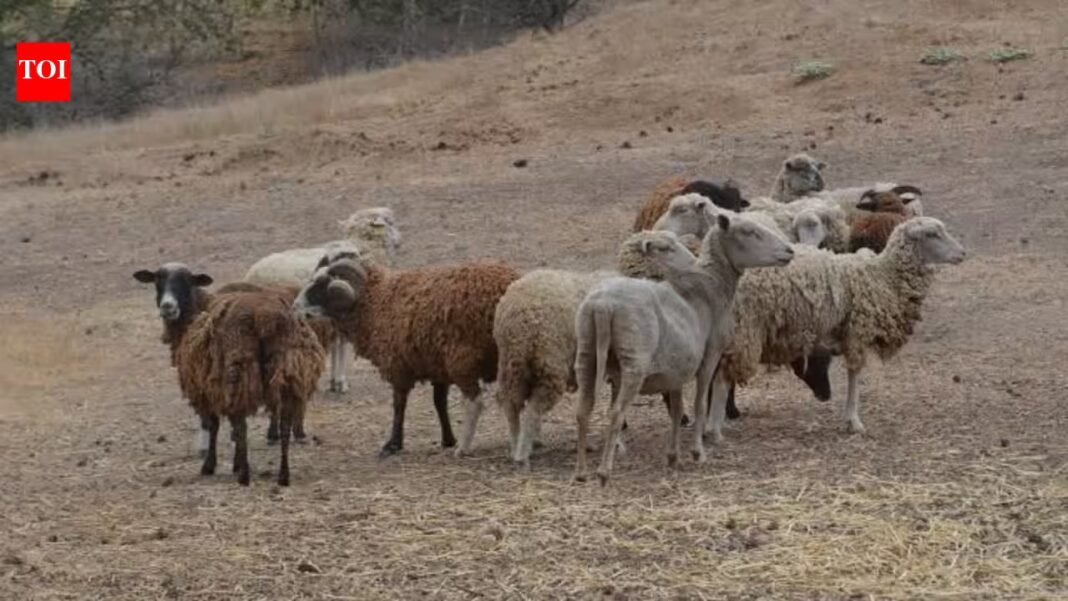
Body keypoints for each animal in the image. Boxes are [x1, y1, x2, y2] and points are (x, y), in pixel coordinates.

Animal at [133, 264, 325, 486]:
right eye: (158, 280)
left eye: (187, 281)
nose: (167, 307)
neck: (197, 308)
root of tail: (265, 316)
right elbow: (231, 429)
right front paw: (235, 462)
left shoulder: (205, 386)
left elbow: (213, 425)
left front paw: (211, 465)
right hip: (288, 370)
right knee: (283, 422)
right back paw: (283, 475)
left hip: (238, 371)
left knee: (242, 424)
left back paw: (245, 475)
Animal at [244, 206, 401, 395]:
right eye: (390, 222)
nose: (399, 242)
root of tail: (250, 274)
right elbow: (341, 345)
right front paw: (341, 382)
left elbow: (336, 345)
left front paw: (334, 381)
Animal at [293, 256, 520, 458]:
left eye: (321, 287)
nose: (295, 307)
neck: (377, 303)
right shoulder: (437, 367)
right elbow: (439, 403)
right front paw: (447, 439)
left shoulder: (398, 367)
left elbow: (399, 405)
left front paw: (393, 444)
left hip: (463, 361)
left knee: (475, 402)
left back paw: (464, 449)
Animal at [573, 218, 795, 485]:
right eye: (750, 232)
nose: (790, 250)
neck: (712, 284)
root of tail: (603, 305)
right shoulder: (710, 354)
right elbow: (699, 403)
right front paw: (698, 452)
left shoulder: (677, 367)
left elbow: (677, 410)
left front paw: (673, 456)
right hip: (634, 361)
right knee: (616, 413)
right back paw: (604, 472)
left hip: (587, 354)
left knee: (582, 411)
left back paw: (581, 472)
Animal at [703, 217, 966, 443]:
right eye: (932, 234)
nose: (963, 253)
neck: (882, 277)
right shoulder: (857, 333)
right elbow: (855, 375)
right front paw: (854, 421)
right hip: (745, 330)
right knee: (722, 379)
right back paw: (714, 430)